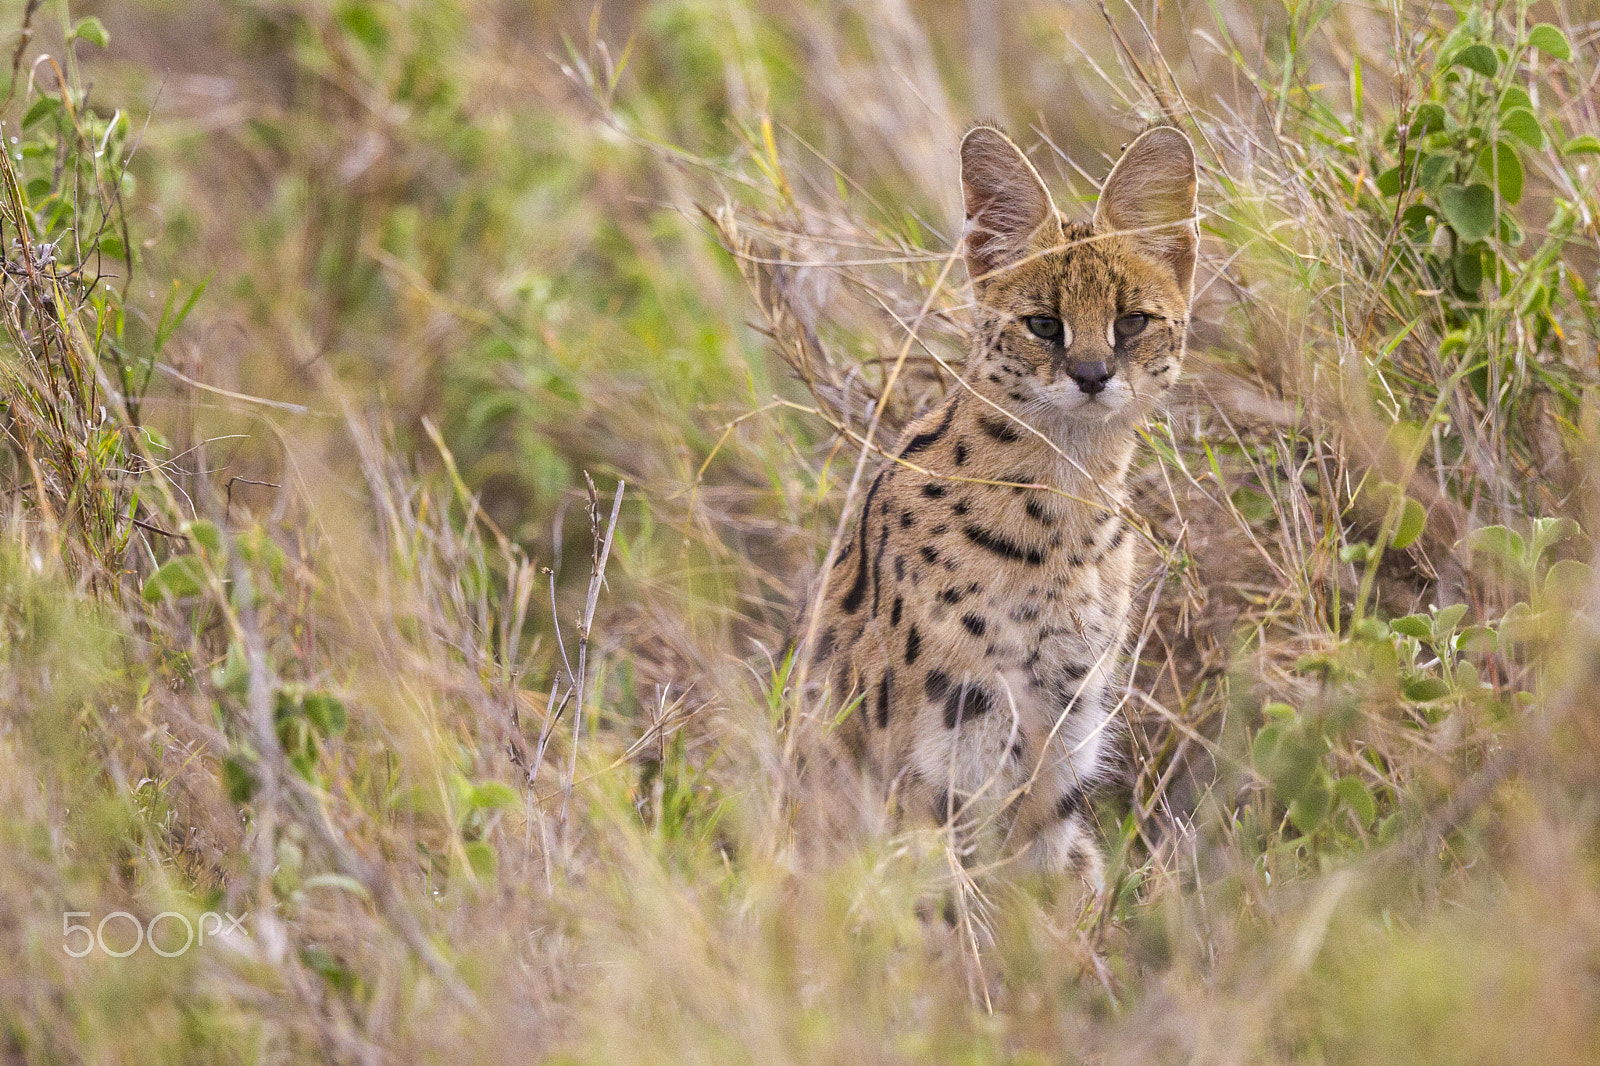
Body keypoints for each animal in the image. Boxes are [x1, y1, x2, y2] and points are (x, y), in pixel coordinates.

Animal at [793, 122, 1196, 877]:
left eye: (1131, 322)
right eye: (1043, 324)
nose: (1092, 374)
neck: (1067, 509)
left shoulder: (1063, 739)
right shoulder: (946, 763)